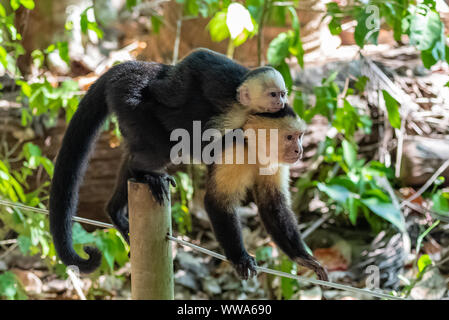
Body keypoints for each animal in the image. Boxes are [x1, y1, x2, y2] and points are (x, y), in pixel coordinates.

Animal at [205, 105, 328, 280]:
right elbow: (218, 202)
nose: (299, 151)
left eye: (299, 136)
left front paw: (302, 257)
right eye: (289, 137)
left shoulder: (274, 163)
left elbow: (273, 205)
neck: (253, 149)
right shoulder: (233, 152)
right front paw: (241, 258)